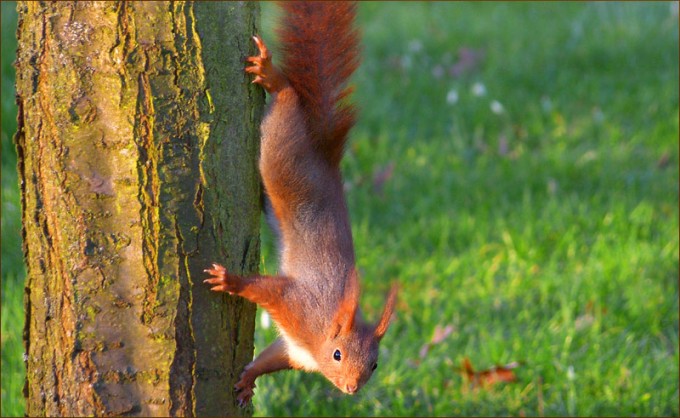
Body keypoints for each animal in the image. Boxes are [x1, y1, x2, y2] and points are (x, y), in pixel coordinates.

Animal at [203, 1, 398, 407]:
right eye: (338, 354)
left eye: (374, 365)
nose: (352, 389)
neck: (322, 333)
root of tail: (323, 154)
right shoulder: (298, 306)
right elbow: (266, 289)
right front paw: (230, 280)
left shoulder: (295, 350)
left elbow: (269, 359)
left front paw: (248, 381)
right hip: (282, 157)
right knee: (287, 99)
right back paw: (273, 78)